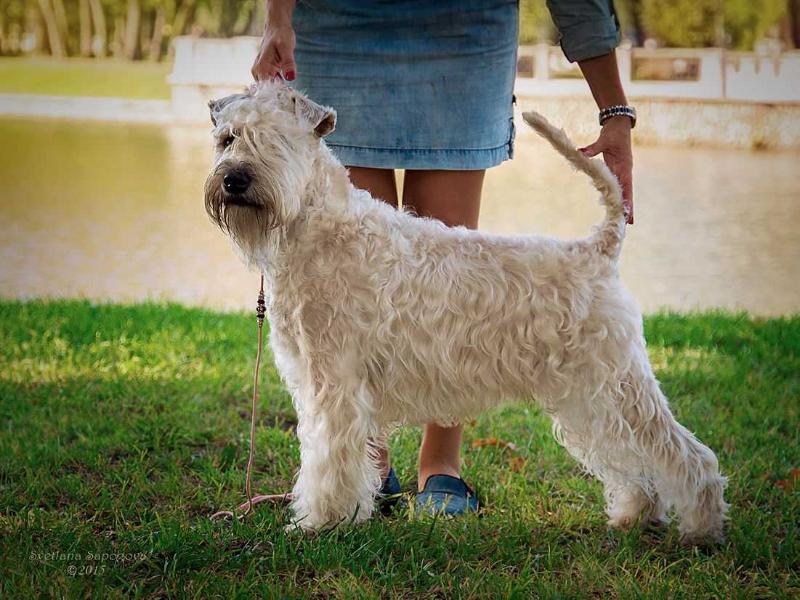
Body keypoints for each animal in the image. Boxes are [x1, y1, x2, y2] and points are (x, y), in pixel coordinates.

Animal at [203, 81, 728, 544]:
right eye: (228, 138)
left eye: (278, 139)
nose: (234, 179)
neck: (318, 228)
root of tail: (597, 249)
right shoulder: (319, 381)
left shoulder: (336, 384)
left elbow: (327, 460)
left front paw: (319, 523)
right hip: (589, 397)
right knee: (627, 457)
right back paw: (633, 515)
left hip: (614, 382)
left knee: (685, 454)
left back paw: (701, 529)